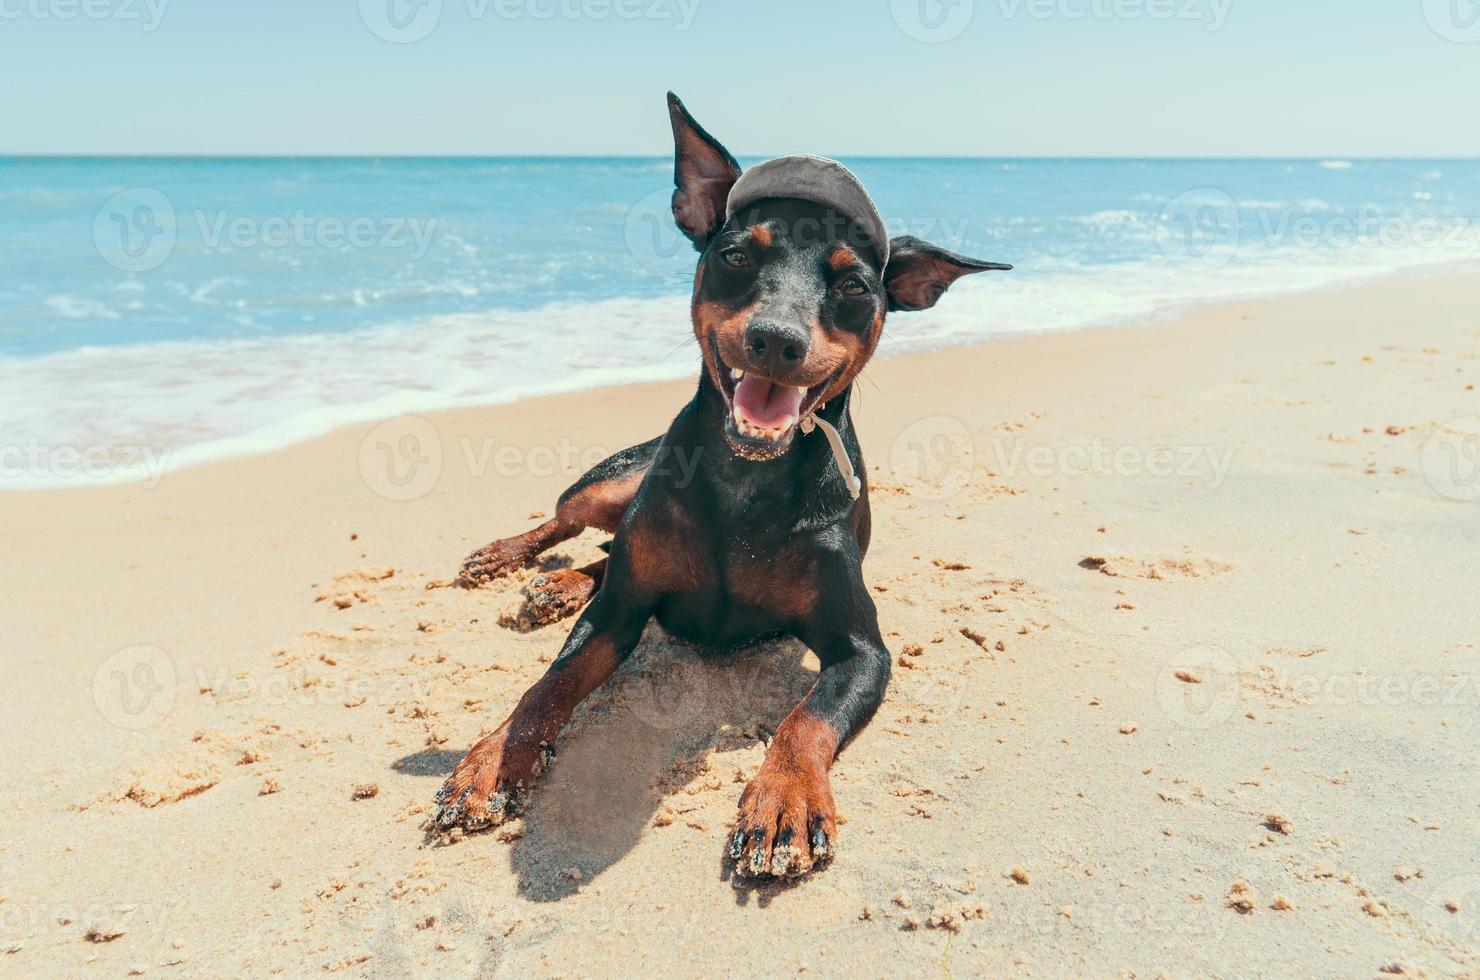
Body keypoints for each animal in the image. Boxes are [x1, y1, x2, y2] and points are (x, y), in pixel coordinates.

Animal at [429, 94, 1006, 882]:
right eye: (735, 256)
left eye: (854, 286)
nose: (776, 340)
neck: (746, 479)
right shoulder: (618, 616)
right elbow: (550, 683)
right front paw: (494, 760)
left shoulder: (863, 650)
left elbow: (806, 719)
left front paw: (785, 801)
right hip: (616, 478)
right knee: (574, 524)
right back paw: (513, 561)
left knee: (605, 554)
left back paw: (560, 585)